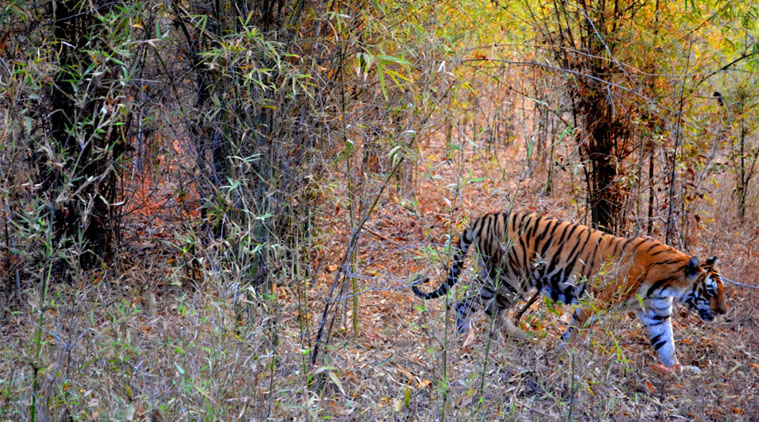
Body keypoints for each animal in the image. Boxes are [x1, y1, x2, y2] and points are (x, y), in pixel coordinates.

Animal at [412, 211, 728, 372]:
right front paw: (562, 357)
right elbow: (574, 333)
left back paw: (518, 336)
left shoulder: (657, 314)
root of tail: (481, 218)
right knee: (469, 304)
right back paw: (466, 336)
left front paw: (678, 369)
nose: (724, 311)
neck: (668, 284)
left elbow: (666, 345)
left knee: (486, 308)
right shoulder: (594, 302)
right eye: (710, 291)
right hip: (508, 277)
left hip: (504, 278)